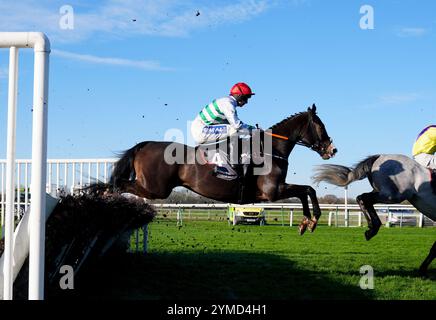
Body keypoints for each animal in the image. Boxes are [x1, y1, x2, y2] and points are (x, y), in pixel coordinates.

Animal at [110, 106, 336, 234]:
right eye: (320, 126)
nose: (332, 149)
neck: (272, 149)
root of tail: (145, 145)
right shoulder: (272, 191)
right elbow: (307, 189)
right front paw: (312, 220)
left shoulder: (276, 190)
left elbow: (306, 191)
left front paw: (306, 223)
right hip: (155, 188)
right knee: (118, 184)